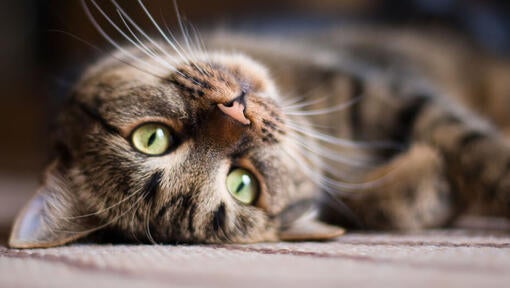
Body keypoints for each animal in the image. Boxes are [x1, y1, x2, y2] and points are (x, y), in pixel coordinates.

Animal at [7, 0, 510, 248]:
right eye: (243, 184)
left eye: (151, 138)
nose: (238, 111)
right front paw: (424, 183)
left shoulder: (378, 89)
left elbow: (479, 151)